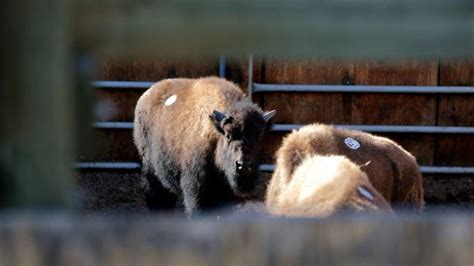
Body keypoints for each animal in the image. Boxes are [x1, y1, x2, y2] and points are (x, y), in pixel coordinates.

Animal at [132, 77, 274, 216]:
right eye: (228, 136)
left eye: (259, 137)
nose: (243, 165)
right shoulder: (197, 190)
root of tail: (147, 94)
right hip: (150, 168)